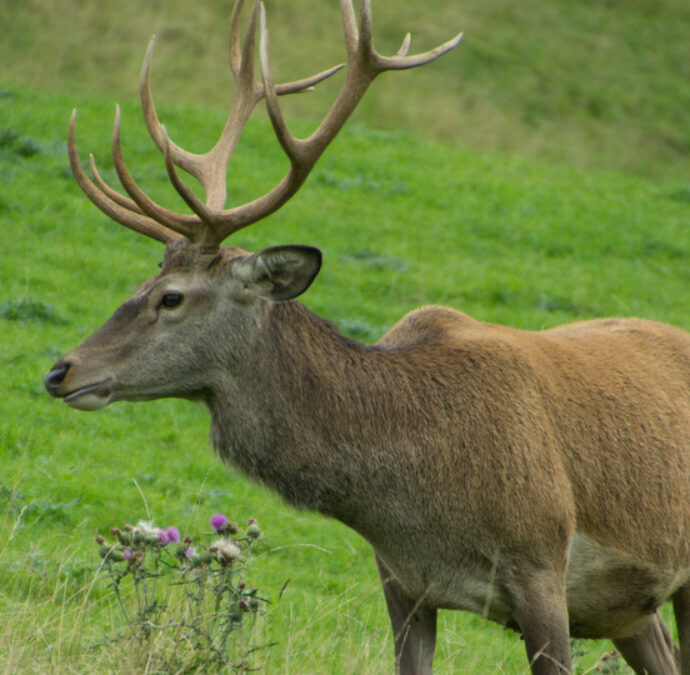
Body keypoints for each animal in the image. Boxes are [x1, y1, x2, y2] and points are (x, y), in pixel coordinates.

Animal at [43, 0, 690, 673]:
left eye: (171, 297)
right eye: (146, 280)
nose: (61, 370)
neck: (412, 499)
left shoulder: (540, 560)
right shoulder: (400, 580)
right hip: (626, 608)